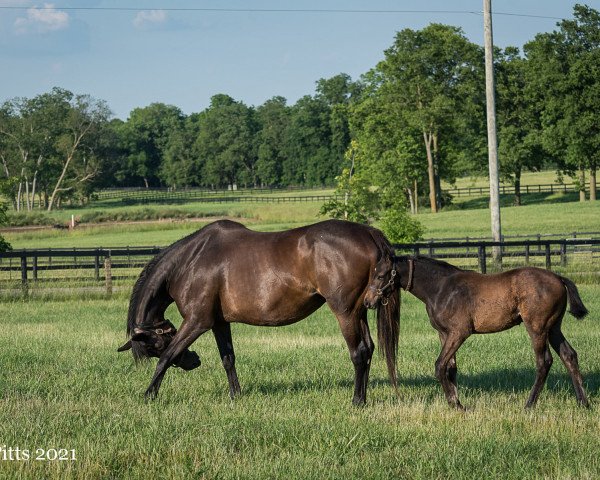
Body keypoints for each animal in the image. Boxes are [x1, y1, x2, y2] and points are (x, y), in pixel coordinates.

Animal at [116, 218, 398, 404]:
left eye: (156, 345)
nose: (194, 361)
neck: (191, 261)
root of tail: (368, 232)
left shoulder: (197, 322)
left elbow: (167, 358)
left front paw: (148, 395)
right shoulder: (219, 323)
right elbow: (228, 359)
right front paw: (236, 396)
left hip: (346, 313)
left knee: (358, 352)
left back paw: (356, 401)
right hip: (361, 311)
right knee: (369, 349)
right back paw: (363, 398)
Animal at [366, 255, 592, 408]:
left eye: (380, 275)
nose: (368, 302)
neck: (441, 288)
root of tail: (558, 278)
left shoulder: (459, 332)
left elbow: (439, 365)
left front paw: (455, 404)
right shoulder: (444, 334)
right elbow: (450, 368)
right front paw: (456, 402)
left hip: (537, 328)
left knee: (544, 361)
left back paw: (529, 404)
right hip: (553, 327)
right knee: (569, 355)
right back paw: (583, 402)